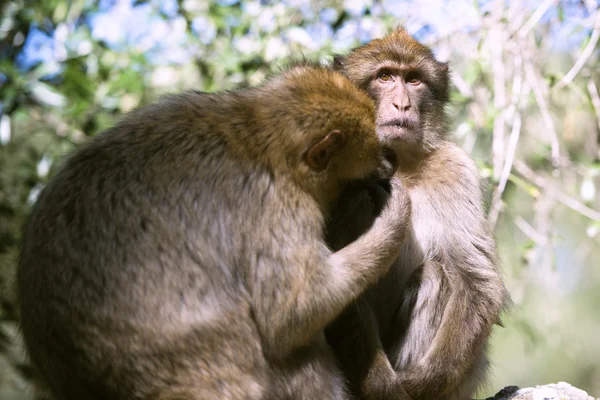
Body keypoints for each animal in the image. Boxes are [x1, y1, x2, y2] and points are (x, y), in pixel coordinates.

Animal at [17, 63, 412, 400]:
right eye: (367, 164)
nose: (388, 164)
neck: (260, 134)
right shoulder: (277, 204)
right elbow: (290, 315)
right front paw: (394, 217)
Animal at [324, 28, 510, 400]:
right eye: (384, 76)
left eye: (413, 80)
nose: (402, 104)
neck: (399, 164)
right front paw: (381, 385)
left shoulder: (457, 169)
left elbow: (477, 282)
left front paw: (421, 381)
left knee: (436, 276)